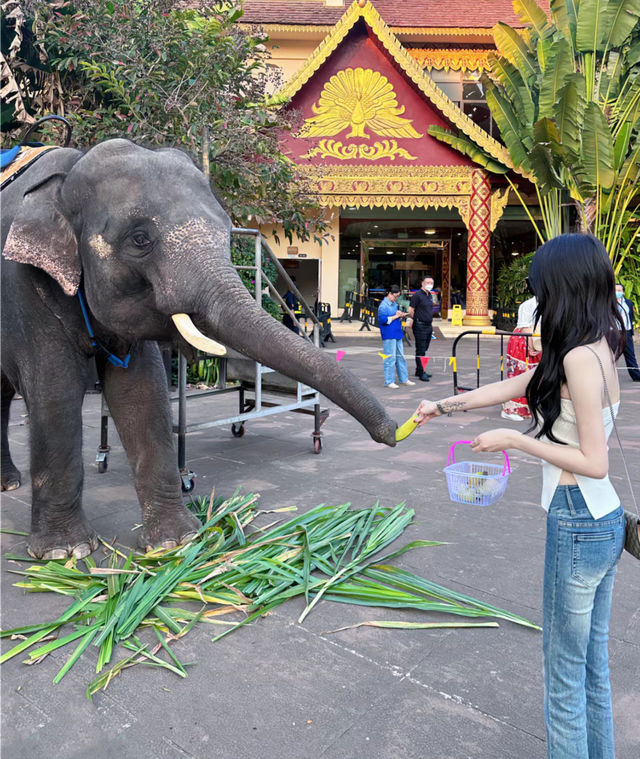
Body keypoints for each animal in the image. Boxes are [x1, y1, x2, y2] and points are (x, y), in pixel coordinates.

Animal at [2, 140, 398, 560]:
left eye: (227, 231)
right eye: (140, 239)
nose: (394, 433)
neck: (69, 174)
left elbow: (141, 393)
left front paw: (176, 542)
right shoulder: (22, 288)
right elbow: (55, 392)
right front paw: (64, 552)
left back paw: (9, 482)